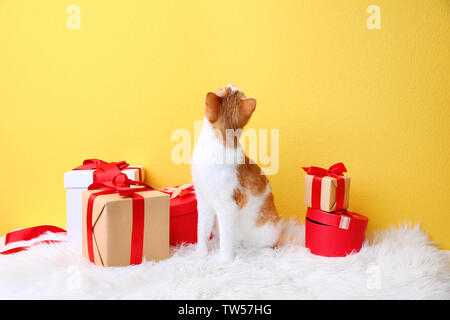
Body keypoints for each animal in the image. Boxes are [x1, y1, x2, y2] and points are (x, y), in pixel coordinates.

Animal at [191, 84, 298, 262]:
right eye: (225, 88)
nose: (231, 84)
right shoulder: (204, 201)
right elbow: (201, 231)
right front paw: (201, 254)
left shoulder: (227, 206)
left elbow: (226, 240)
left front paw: (224, 261)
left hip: (266, 233)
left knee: (263, 247)